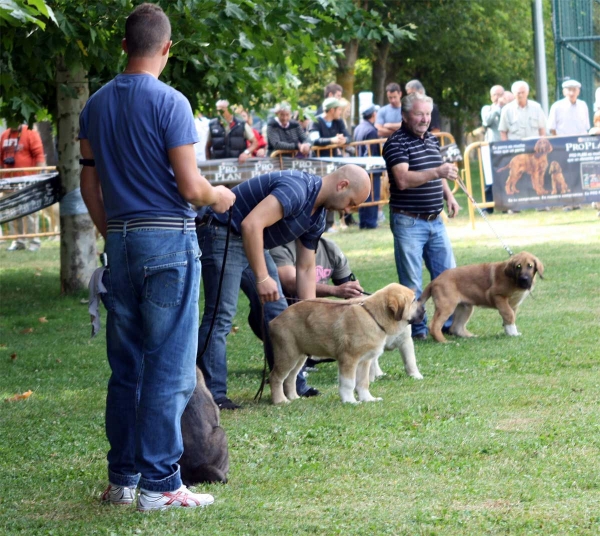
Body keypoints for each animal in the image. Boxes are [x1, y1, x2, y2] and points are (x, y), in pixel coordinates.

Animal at [270, 284, 424, 402]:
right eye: (413, 300)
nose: (425, 309)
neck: (372, 316)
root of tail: (274, 320)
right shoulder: (349, 358)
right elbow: (348, 383)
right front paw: (350, 401)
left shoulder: (364, 360)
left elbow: (363, 382)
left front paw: (368, 399)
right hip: (287, 355)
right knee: (276, 377)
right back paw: (280, 401)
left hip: (299, 357)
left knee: (290, 378)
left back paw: (294, 397)